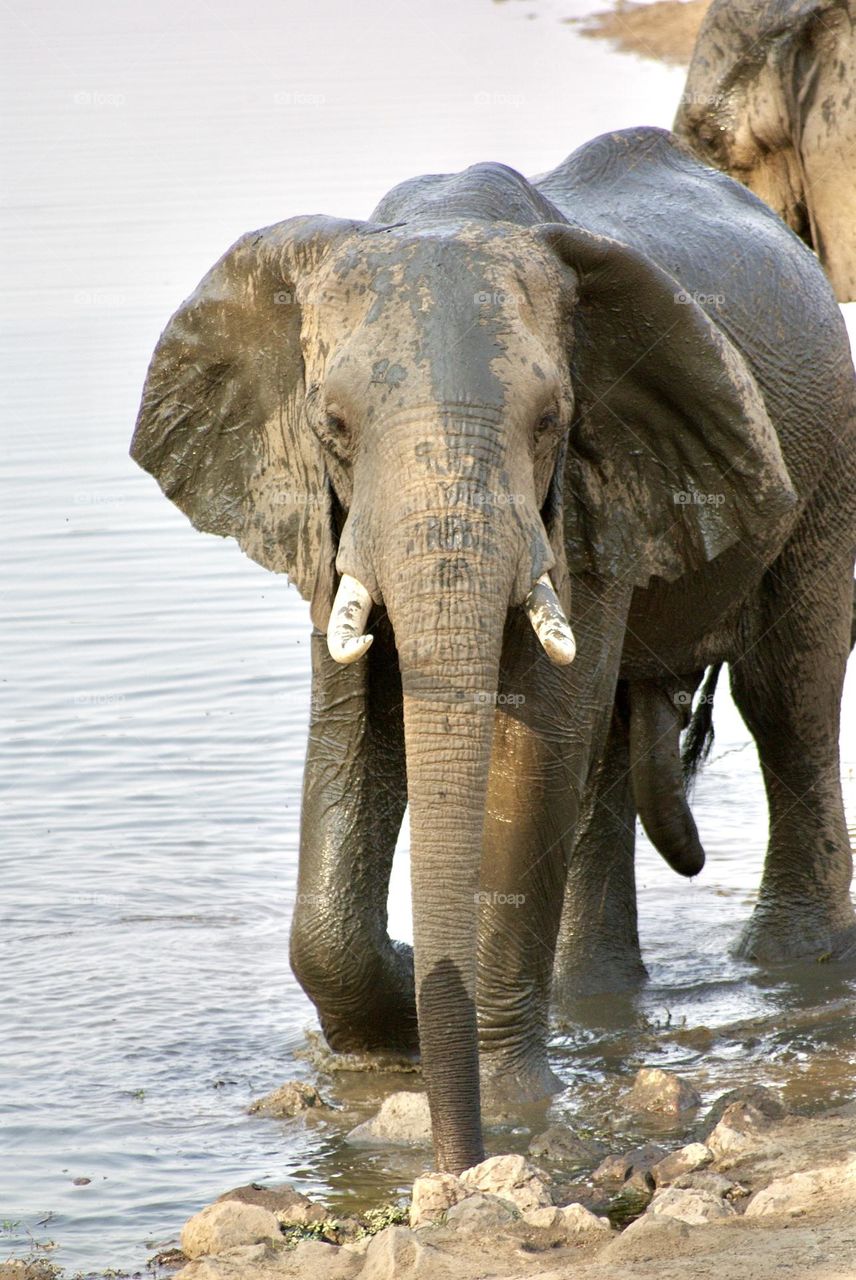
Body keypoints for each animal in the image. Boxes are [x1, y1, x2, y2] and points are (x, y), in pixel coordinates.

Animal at [131, 124, 854, 1172]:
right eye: (333, 426)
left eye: (550, 423)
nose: (456, 1159)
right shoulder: (330, 520)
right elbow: (352, 730)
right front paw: (393, 1013)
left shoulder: (593, 478)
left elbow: (535, 748)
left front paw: (507, 1113)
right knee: (610, 755)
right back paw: (596, 994)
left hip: (829, 460)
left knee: (788, 700)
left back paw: (790, 969)